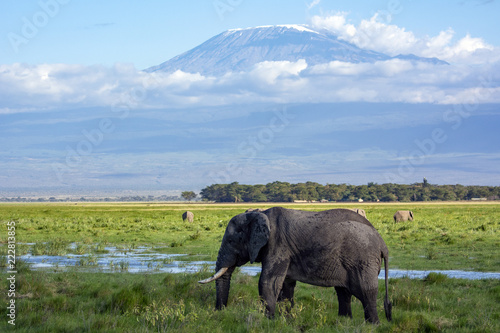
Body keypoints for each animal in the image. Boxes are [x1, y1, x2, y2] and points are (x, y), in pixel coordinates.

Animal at [198, 206, 390, 322]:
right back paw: (344, 321)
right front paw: (285, 321)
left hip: (363, 261)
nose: (219, 311)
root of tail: (383, 244)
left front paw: (268, 321)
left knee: (365, 292)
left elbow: (268, 282)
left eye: (231, 241)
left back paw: (372, 325)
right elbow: (286, 285)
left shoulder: (278, 245)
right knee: (343, 292)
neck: (260, 213)